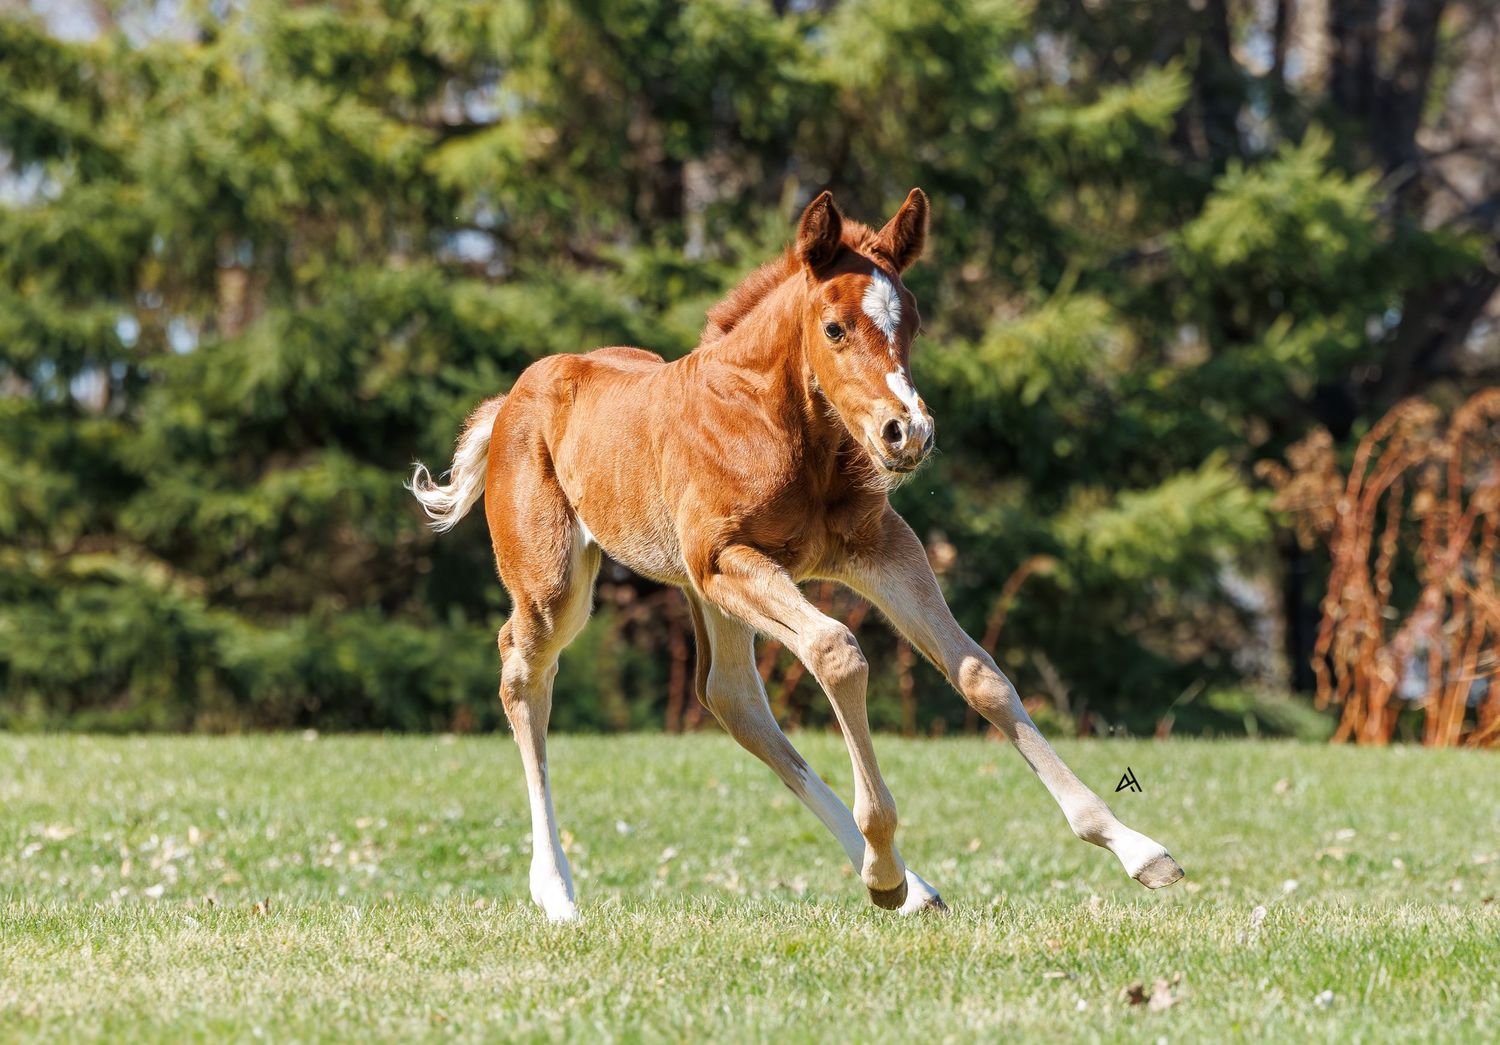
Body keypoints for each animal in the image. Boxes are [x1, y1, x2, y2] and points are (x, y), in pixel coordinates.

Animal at [409, 189, 1184, 921]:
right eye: (834, 328)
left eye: (913, 324)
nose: (908, 433)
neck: (783, 429)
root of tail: (512, 395)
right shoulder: (731, 558)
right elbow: (838, 651)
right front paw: (882, 865)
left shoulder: (876, 549)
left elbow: (978, 674)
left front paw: (1135, 847)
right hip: (561, 584)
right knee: (524, 673)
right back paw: (557, 891)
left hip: (699, 590)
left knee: (731, 696)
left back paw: (915, 888)